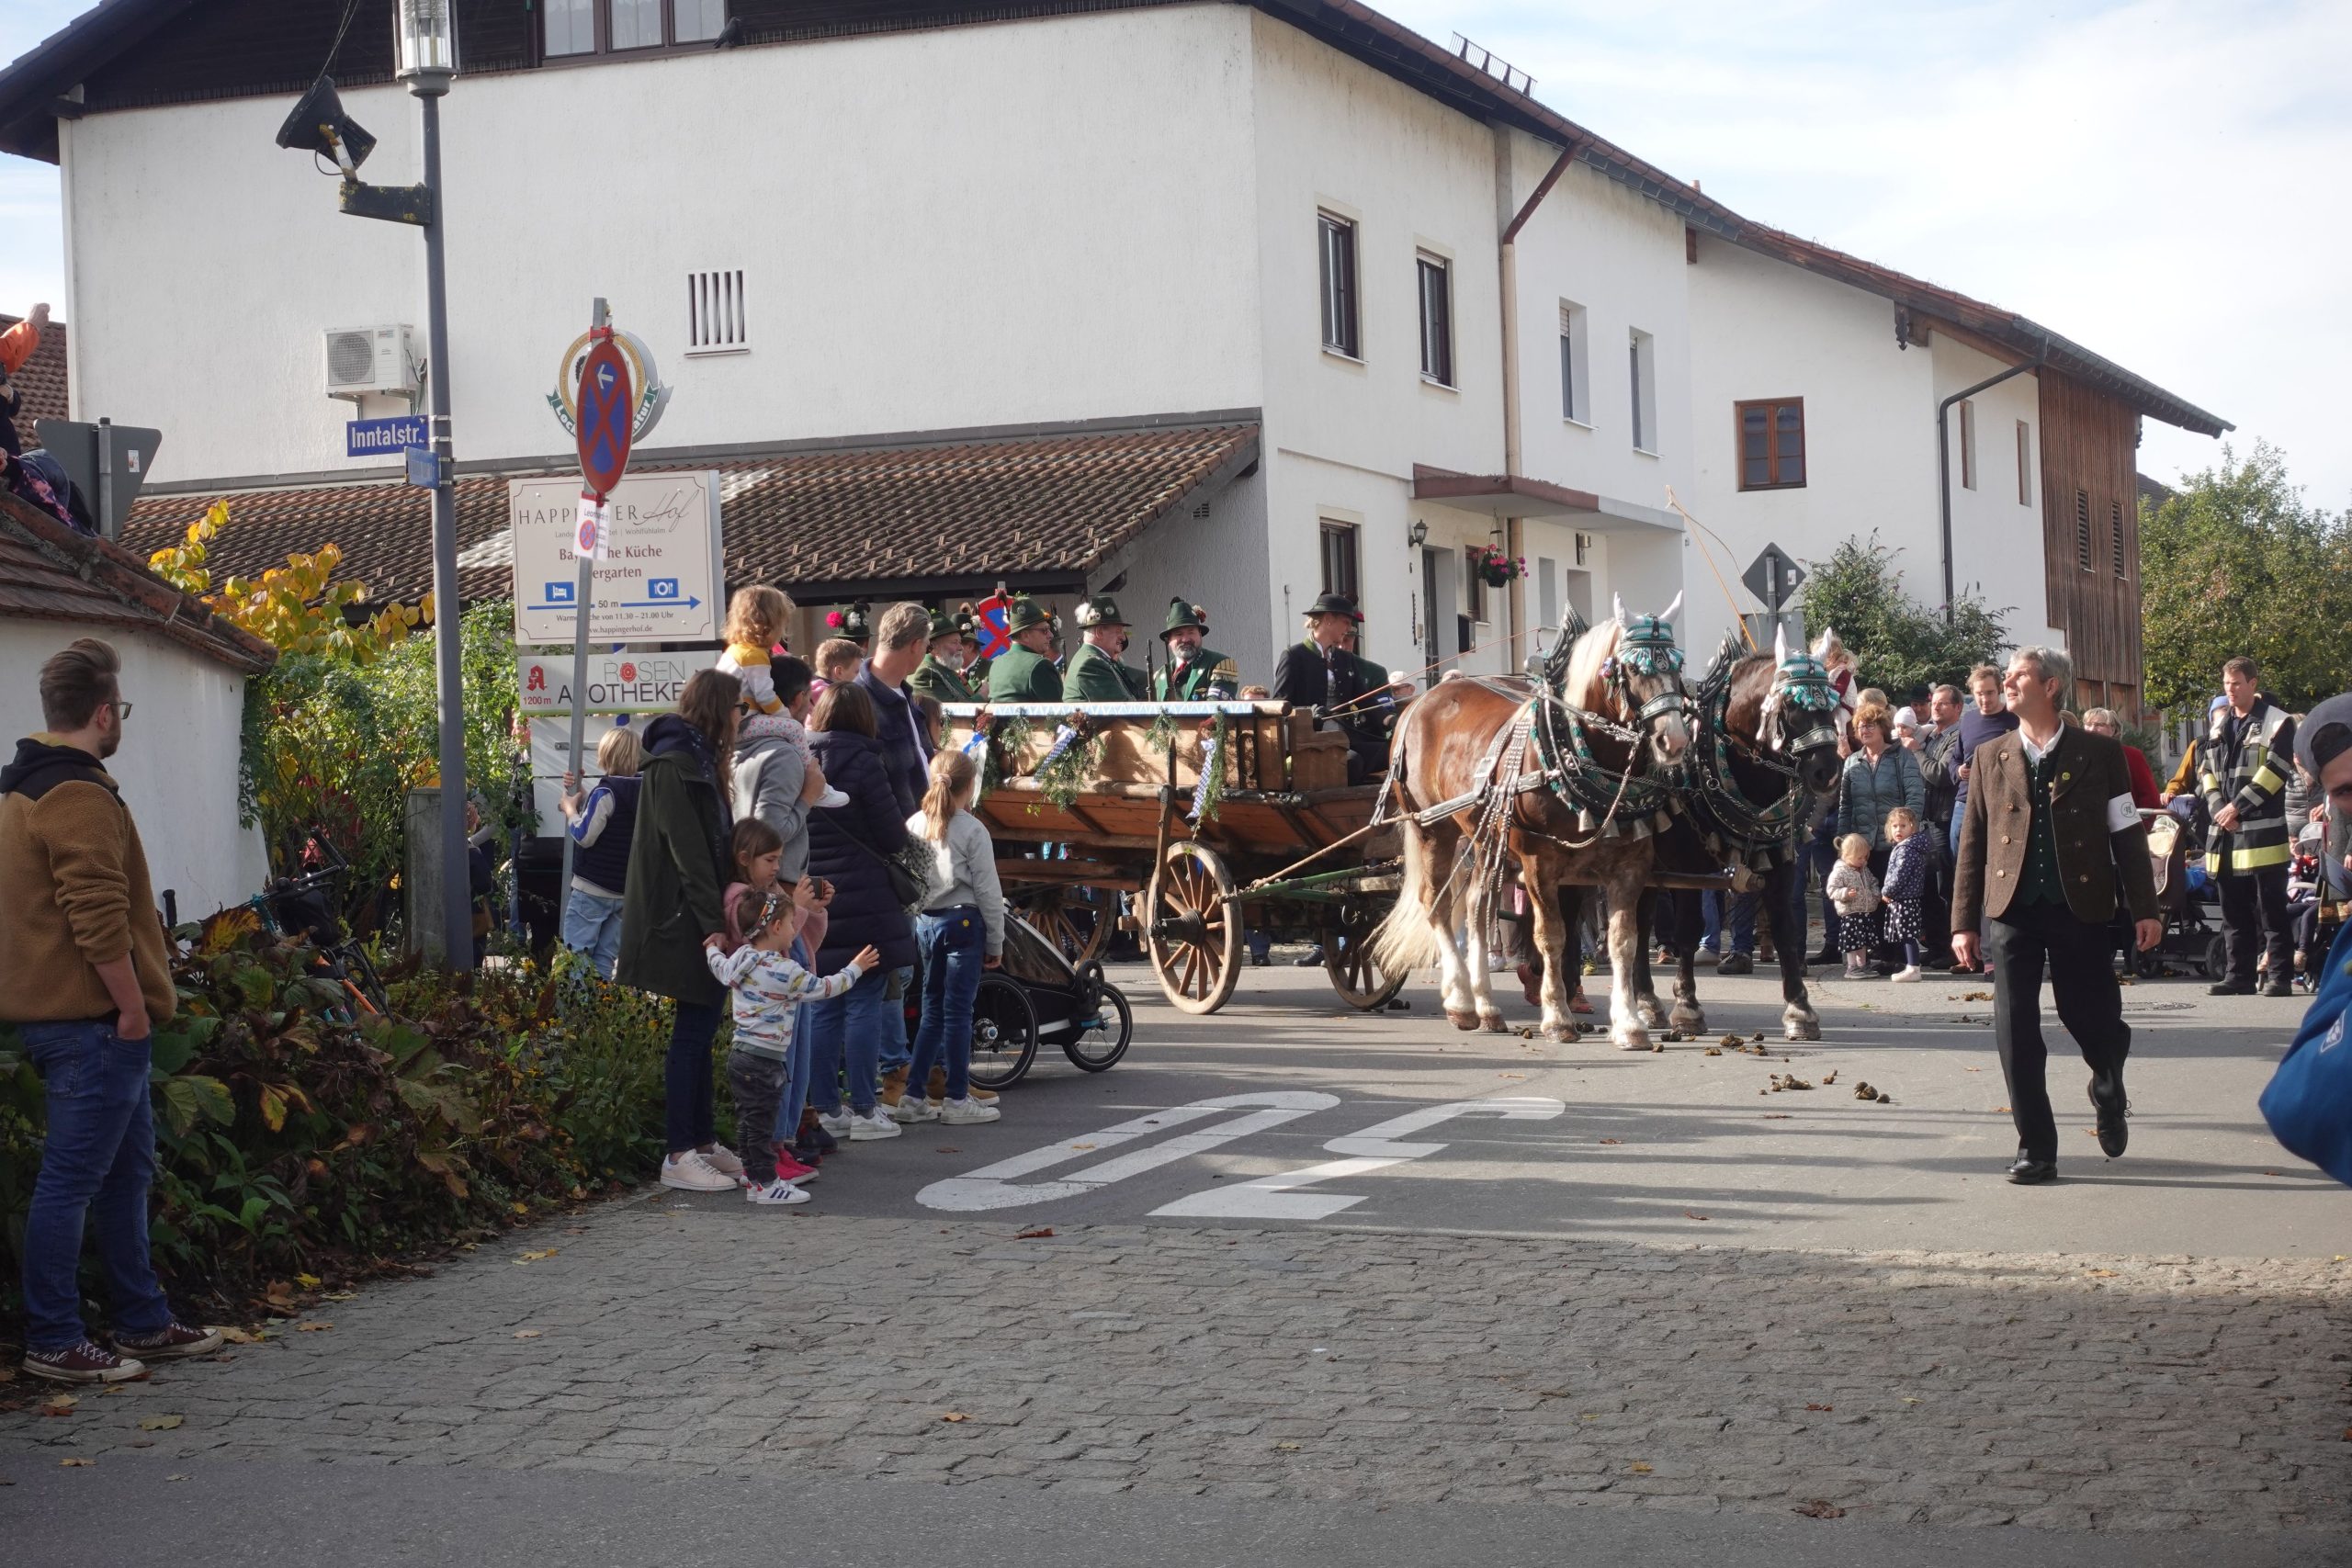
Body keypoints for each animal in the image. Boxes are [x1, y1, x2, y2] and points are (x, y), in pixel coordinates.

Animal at [1374, 606, 1693, 1048]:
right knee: (1436, 903)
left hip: (1486, 837)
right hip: (1432, 829)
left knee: (1476, 907)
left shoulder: (1631, 864)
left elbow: (1623, 940)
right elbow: (1552, 937)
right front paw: (1557, 1017)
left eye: (1677, 666)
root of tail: (1421, 700)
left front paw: (1630, 1022)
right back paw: (1461, 1002)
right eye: (1632, 668)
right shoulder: (1539, 863)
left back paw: (1487, 1006)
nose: (1673, 741)